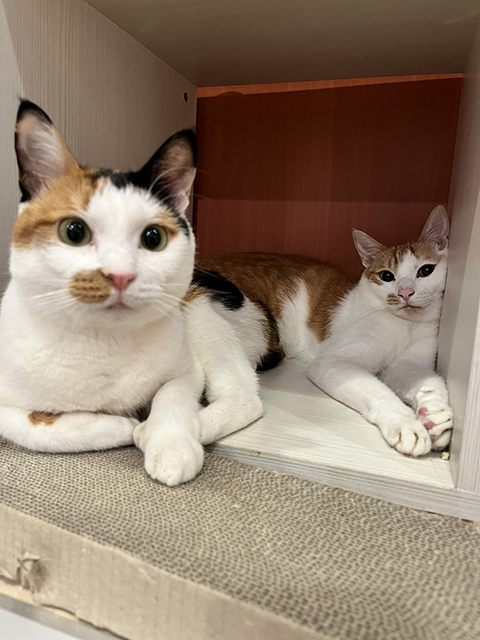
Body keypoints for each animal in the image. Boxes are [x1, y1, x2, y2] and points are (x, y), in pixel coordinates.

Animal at [0, 100, 204, 486]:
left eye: (153, 237)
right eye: (74, 231)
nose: (120, 275)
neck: (106, 342)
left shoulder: (190, 369)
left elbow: (173, 392)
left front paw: (172, 448)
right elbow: (39, 426)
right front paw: (123, 424)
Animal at [185, 206, 453, 457]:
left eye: (425, 271)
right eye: (387, 276)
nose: (405, 293)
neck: (406, 324)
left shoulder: (407, 364)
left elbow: (431, 380)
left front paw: (435, 413)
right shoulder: (335, 362)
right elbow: (379, 392)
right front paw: (407, 423)